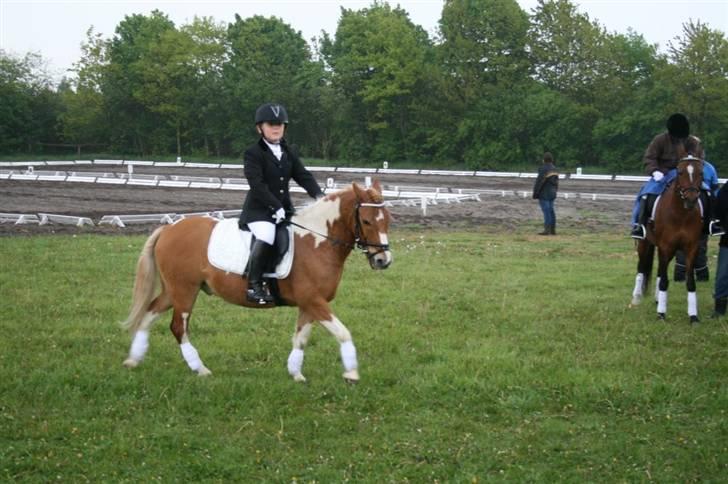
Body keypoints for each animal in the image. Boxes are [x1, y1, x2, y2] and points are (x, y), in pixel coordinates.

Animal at [121, 182, 392, 382]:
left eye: (388, 220)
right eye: (366, 221)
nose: (383, 260)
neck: (317, 241)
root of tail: (168, 229)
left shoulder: (309, 304)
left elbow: (301, 337)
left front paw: (296, 374)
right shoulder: (314, 301)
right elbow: (343, 333)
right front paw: (352, 373)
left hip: (173, 290)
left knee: (149, 313)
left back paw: (133, 359)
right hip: (184, 290)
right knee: (179, 327)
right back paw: (200, 369)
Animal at [632, 154, 704, 322]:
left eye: (701, 173)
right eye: (680, 172)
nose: (691, 199)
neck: (681, 214)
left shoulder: (691, 248)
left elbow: (690, 282)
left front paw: (693, 316)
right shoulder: (665, 246)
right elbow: (664, 281)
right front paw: (661, 314)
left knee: (659, 271)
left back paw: (658, 299)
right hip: (644, 244)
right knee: (641, 268)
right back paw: (636, 298)